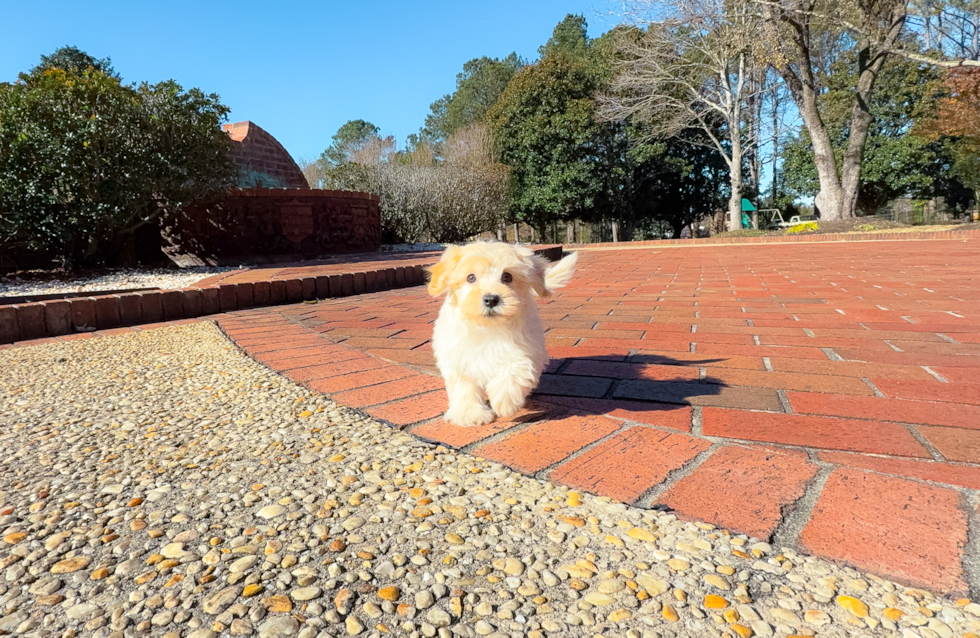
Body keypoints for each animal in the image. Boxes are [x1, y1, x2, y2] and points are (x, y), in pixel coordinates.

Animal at [426, 242, 580, 428]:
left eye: (507, 277)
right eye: (470, 278)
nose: (491, 299)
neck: (488, 328)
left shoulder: (527, 348)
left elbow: (516, 369)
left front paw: (505, 401)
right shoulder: (457, 356)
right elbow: (464, 385)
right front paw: (470, 412)